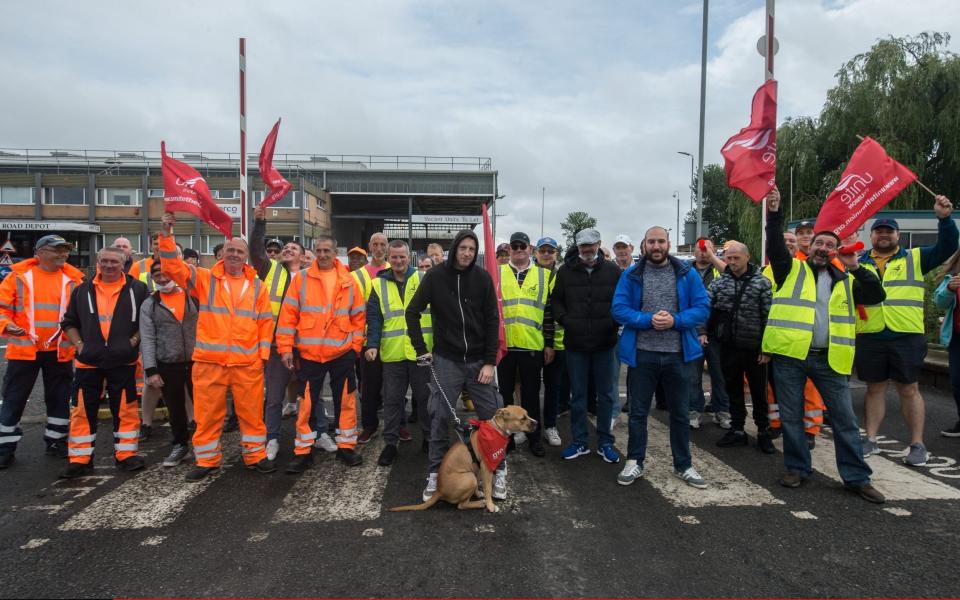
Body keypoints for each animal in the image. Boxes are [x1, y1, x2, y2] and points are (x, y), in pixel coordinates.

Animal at [392, 404, 540, 510]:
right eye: (523, 418)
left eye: (527, 415)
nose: (537, 422)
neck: (497, 429)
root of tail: (439, 490)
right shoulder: (486, 467)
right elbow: (488, 487)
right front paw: (490, 506)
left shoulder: (480, 467)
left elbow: (484, 483)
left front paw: (481, 494)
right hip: (468, 478)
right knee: (461, 505)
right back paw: (480, 504)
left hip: (471, 474)